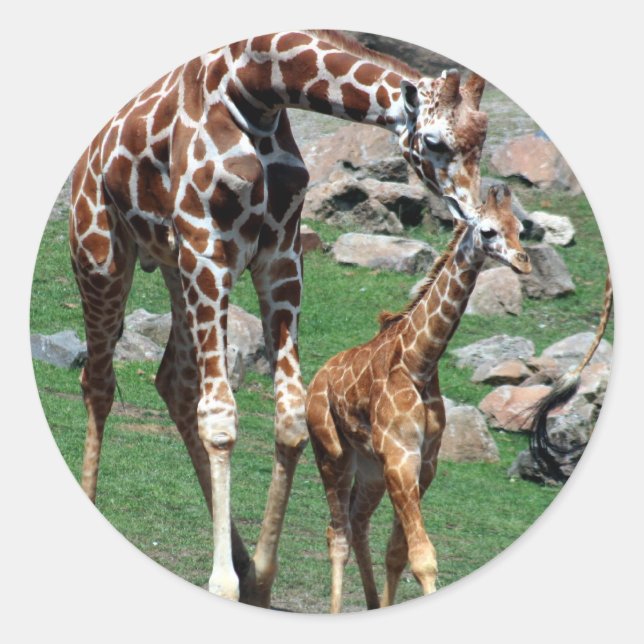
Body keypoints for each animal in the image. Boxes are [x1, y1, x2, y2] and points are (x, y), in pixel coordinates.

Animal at [69, 29, 489, 607]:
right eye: (434, 142)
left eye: (483, 139)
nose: (476, 216)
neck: (255, 89)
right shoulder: (207, 245)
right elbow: (221, 419)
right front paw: (223, 584)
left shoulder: (280, 254)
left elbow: (289, 419)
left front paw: (260, 579)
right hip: (102, 255)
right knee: (99, 378)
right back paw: (94, 502)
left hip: (174, 267)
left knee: (173, 380)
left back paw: (242, 558)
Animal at [305, 184, 532, 612]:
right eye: (489, 231)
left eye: (521, 229)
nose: (524, 262)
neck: (419, 363)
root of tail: (316, 380)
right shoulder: (401, 456)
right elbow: (423, 557)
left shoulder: (423, 462)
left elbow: (398, 552)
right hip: (332, 453)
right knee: (336, 533)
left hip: (370, 467)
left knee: (357, 524)